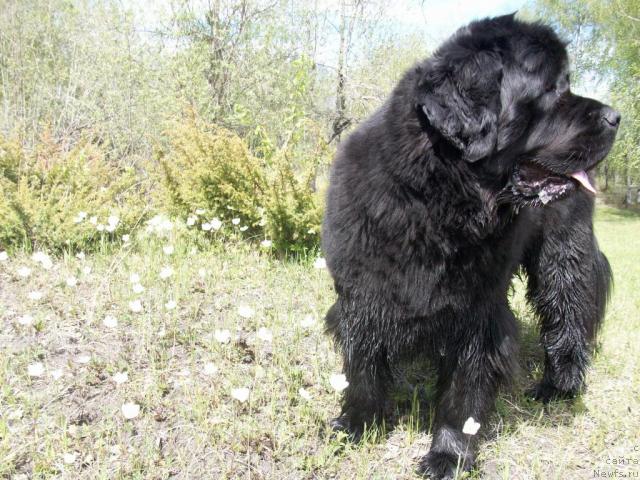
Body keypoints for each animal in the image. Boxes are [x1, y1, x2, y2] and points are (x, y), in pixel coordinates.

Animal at [322, 13, 616, 478]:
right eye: (552, 89)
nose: (617, 117)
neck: (437, 202)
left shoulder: (477, 314)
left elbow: (464, 391)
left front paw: (449, 455)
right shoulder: (362, 293)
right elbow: (363, 363)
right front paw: (356, 424)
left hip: (563, 253)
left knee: (569, 310)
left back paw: (559, 386)